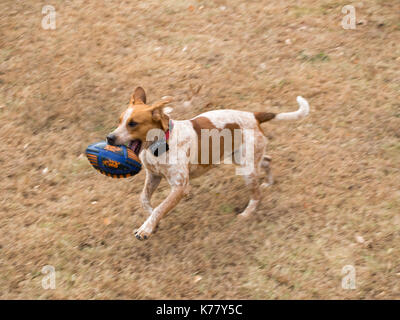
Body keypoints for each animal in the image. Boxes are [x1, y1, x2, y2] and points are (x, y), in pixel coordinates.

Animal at [107, 87, 310, 240]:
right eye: (119, 121)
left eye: (133, 123)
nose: (109, 137)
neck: (161, 144)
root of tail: (254, 115)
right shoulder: (154, 176)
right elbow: (145, 200)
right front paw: (152, 222)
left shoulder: (178, 187)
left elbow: (160, 207)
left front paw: (146, 229)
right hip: (241, 158)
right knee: (267, 160)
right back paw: (268, 182)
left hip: (246, 170)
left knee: (256, 196)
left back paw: (246, 214)